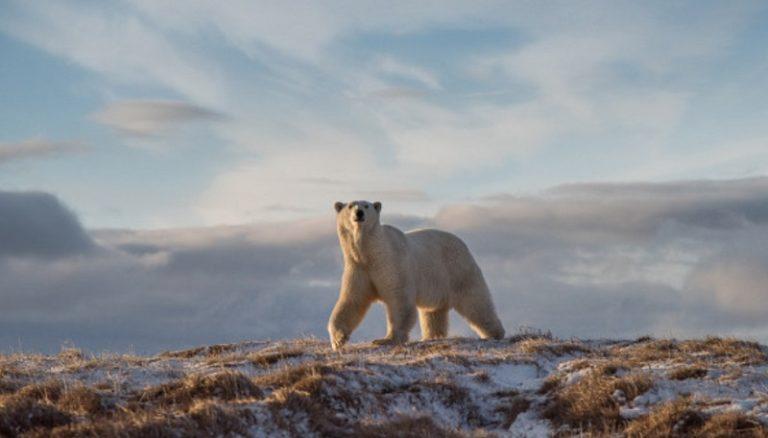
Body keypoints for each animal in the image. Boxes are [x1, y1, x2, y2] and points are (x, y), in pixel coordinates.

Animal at [328, 200, 504, 350]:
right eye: (350, 206)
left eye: (366, 205)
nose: (359, 213)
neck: (372, 253)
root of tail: (462, 244)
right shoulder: (358, 268)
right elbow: (352, 301)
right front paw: (338, 340)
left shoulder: (392, 264)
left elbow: (399, 300)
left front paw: (386, 339)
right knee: (433, 312)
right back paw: (431, 337)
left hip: (458, 269)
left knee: (475, 301)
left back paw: (495, 333)